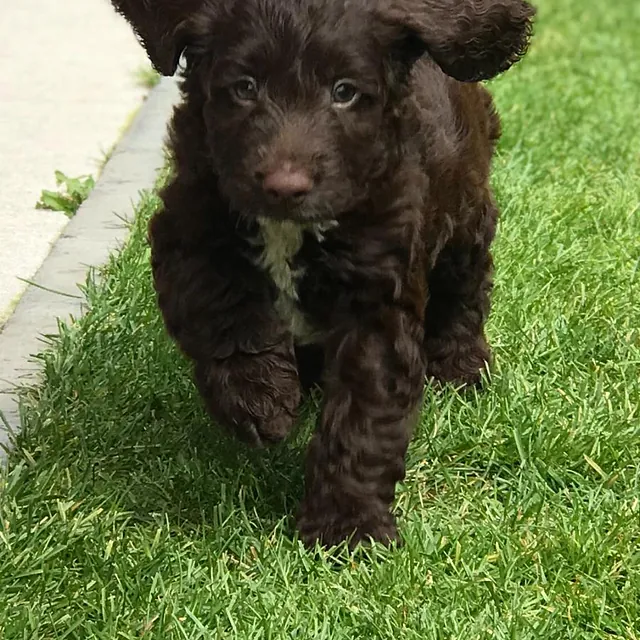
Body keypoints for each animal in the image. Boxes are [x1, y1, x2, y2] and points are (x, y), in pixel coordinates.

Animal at [110, 0, 536, 552]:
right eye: (245, 86)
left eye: (344, 91)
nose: (284, 186)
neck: (291, 229)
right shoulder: (190, 218)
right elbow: (217, 304)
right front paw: (262, 399)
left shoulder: (378, 293)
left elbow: (362, 415)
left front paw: (347, 528)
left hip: (465, 214)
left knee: (464, 292)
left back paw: (461, 370)